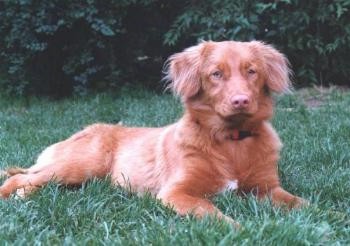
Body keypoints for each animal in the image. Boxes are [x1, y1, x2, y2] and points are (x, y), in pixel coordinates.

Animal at [0, 40, 306, 227]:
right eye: (216, 74)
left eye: (251, 71)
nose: (241, 100)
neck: (230, 142)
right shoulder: (176, 192)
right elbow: (211, 212)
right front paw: (239, 229)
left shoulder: (267, 188)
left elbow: (303, 204)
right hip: (80, 164)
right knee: (19, 177)